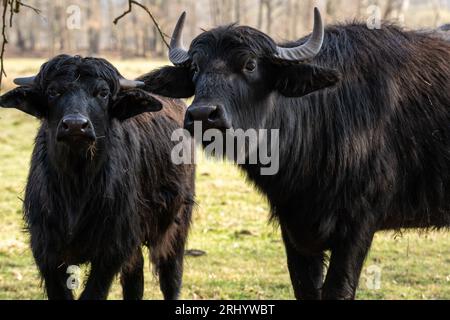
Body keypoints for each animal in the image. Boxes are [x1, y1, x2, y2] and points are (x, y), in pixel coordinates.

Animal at [0, 55, 195, 300]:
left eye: (102, 93)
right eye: (53, 92)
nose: (75, 125)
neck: (77, 184)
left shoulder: (111, 250)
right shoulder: (46, 250)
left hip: (175, 223)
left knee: (171, 275)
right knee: (135, 276)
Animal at [144, 9, 450, 300]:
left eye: (250, 64)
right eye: (196, 68)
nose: (202, 115)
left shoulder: (359, 224)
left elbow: (338, 290)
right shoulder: (293, 227)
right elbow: (304, 289)